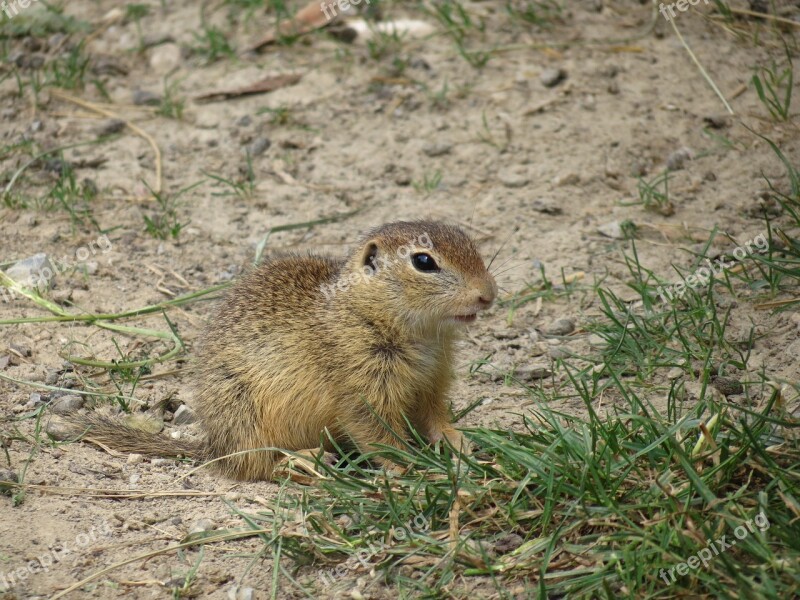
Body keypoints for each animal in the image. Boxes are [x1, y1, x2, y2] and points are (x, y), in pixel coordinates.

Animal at [69, 223, 496, 480]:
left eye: (470, 242)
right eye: (424, 261)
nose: (488, 295)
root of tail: (213, 447)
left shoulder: (432, 382)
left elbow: (435, 416)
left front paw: (459, 442)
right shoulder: (361, 387)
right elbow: (377, 434)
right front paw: (411, 467)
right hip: (244, 415)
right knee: (256, 466)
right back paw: (303, 461)